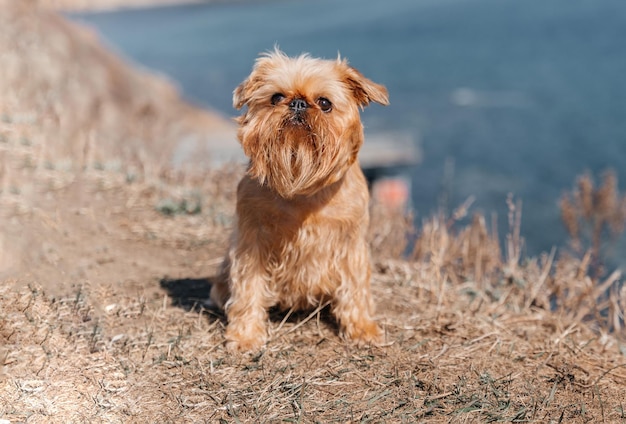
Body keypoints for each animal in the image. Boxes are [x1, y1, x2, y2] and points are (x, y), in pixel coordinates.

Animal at [210, 48, 386, 352]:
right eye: (276, 97)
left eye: (324, 103)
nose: (298, 103)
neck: (302, 188)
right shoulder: (252, 241)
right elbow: (248, 286)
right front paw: (245, 335)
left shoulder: (351, 244)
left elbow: (355, 288)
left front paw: (362, 329)